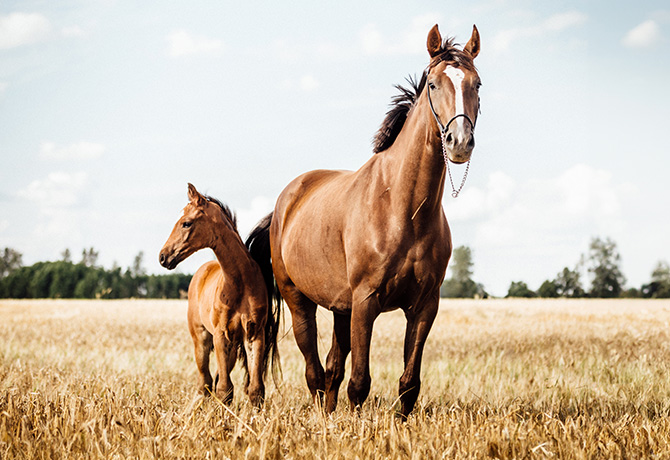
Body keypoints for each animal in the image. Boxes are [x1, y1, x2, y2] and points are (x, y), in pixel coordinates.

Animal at [159, 183, 280, 406]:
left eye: (186, 223)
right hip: (201, 339)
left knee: (213, 380)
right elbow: (225, 390)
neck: (239, 283)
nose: (163, 257)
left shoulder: (254, 334)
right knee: (205, 382)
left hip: (231, 347)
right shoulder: (221, 335)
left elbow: (255, 389)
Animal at [249, 23, 480, 416]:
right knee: (314, 369)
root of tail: (284, 204)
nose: (459, 142)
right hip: (300, 300)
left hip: (341, 307)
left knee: (331, 367)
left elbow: (408, 383)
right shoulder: (366, 300)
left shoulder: (424, 306)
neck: (403, 209)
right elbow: (359, 383)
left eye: (477, 84)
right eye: (434, 84)